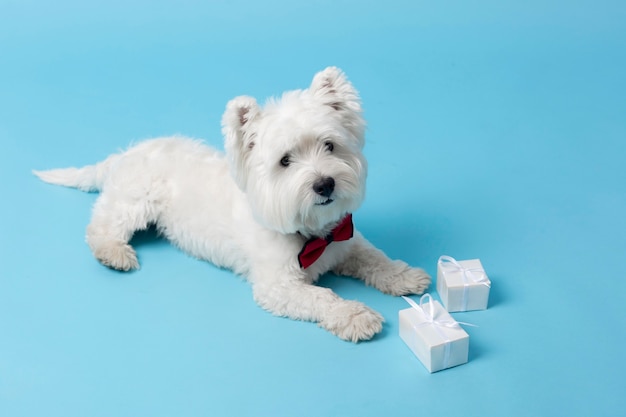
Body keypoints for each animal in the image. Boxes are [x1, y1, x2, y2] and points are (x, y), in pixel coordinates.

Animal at [34, 67, 428, 342]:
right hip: (134, 201)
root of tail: (127, 153)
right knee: (101, 226)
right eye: (285, 161)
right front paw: (355, 315)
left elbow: (376, 258)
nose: (324, 184)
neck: (312, 234)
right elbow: (323, 298)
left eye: (330, 146)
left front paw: (405, 275)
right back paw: (113, 253)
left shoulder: (347, 241)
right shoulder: (279, 287)